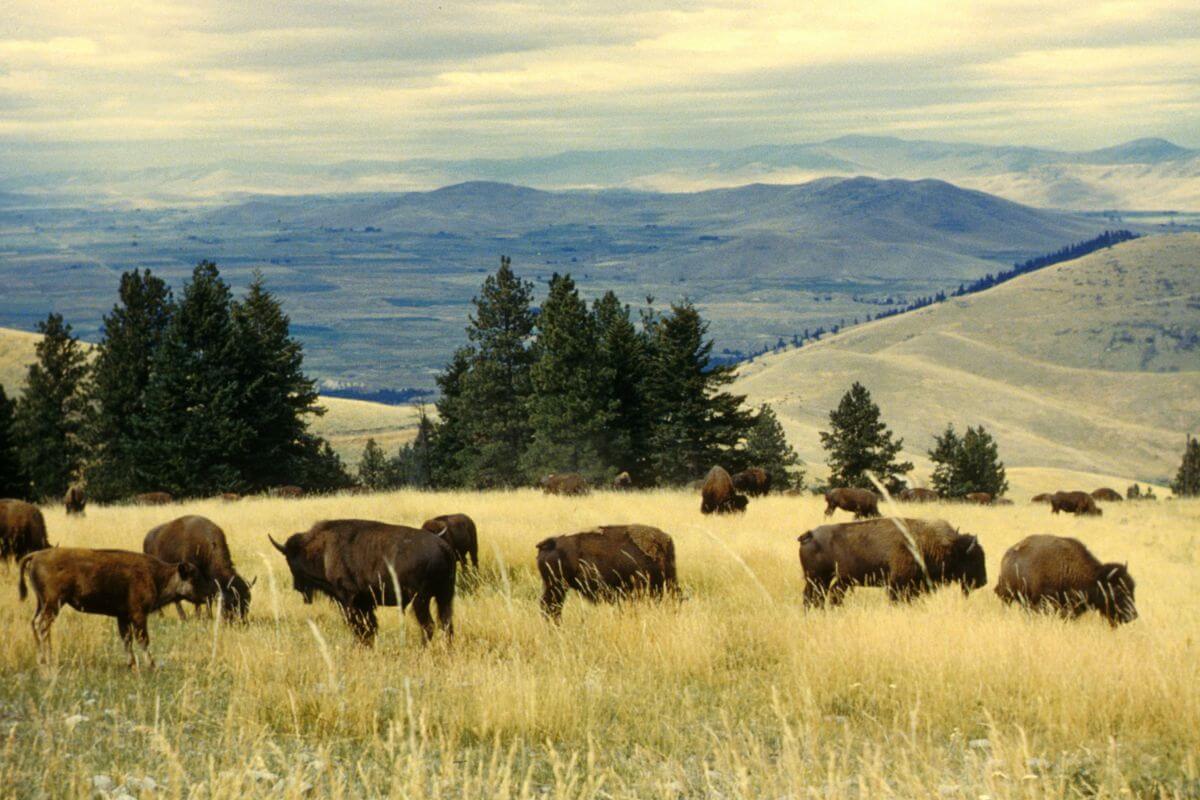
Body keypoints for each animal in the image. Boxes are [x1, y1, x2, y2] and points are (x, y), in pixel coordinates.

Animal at [19, 548, 203, 669]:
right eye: (194, 578)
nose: (204, 597)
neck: (155, 575)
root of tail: (36, 555)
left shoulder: (122, 617)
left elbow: (127, 640)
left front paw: (131, 664)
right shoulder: (138, 615)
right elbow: (142, 639)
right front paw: (151, 665)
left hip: (42, 603)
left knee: (35, 623)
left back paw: (43, 659)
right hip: (52, 604)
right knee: (42, 626)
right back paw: (46, 660)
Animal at [269, 519, 455, 645]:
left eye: (290, 560)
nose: (297, 586)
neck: (323, 550)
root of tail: (443, 547)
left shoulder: (349, 600)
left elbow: (359, 627)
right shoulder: (365, 603)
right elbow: (370, 627)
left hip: (421, 600)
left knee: (429, 625)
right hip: (444, 597)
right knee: (446, 624)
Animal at [799, 517, 986, 606]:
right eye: (974, 558)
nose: (983, 581)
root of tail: (810, 535)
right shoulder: (897, 585)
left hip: (830, 580)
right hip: (817, 579)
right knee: (812, 597)